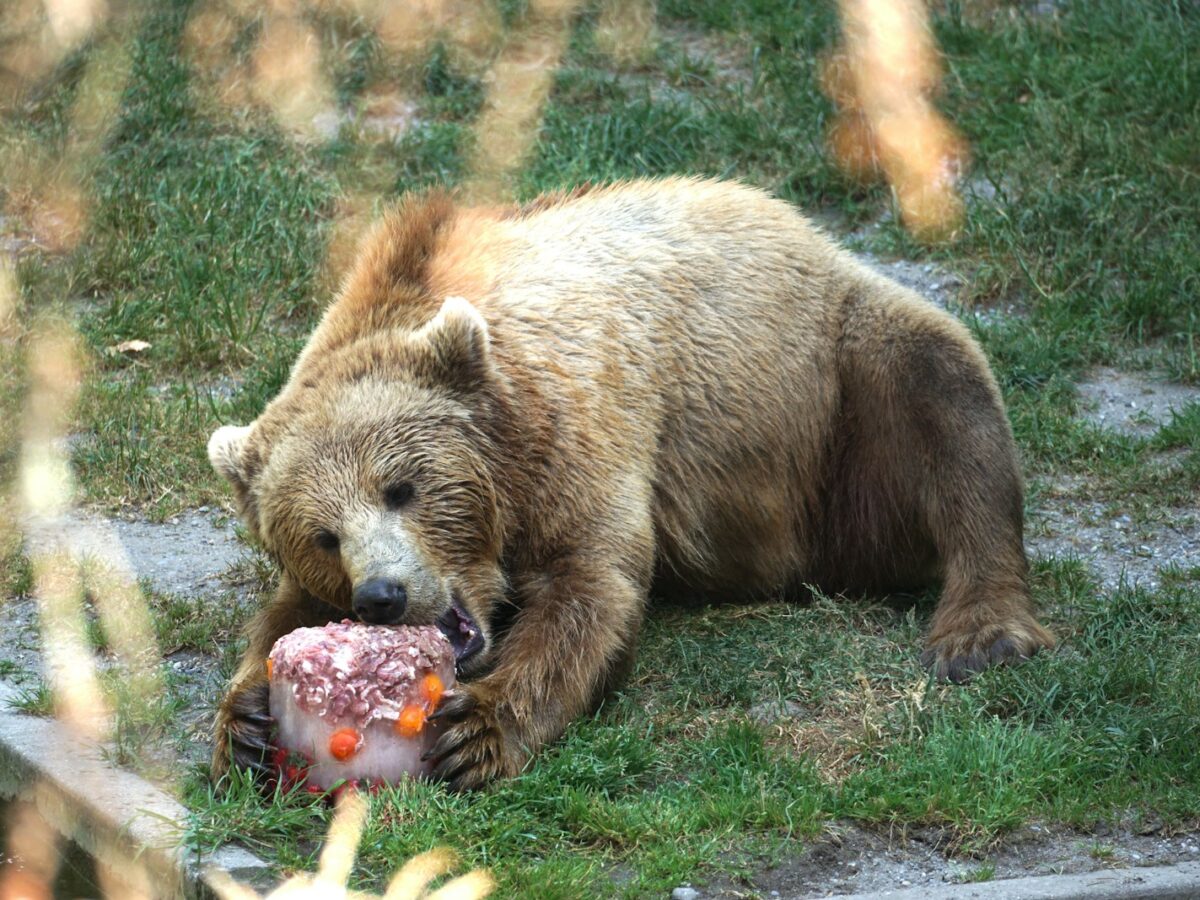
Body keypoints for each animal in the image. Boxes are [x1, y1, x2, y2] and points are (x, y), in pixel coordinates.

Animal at [207, 177, 1054, 790]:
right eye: (322, 535)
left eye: (402, 487)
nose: (381, 595)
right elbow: (282, 615)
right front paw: (244, 722)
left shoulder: (581, 430)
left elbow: (592, 587)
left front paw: (474, 732)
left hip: (834, 391)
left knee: (945, 394)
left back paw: (979, 631)